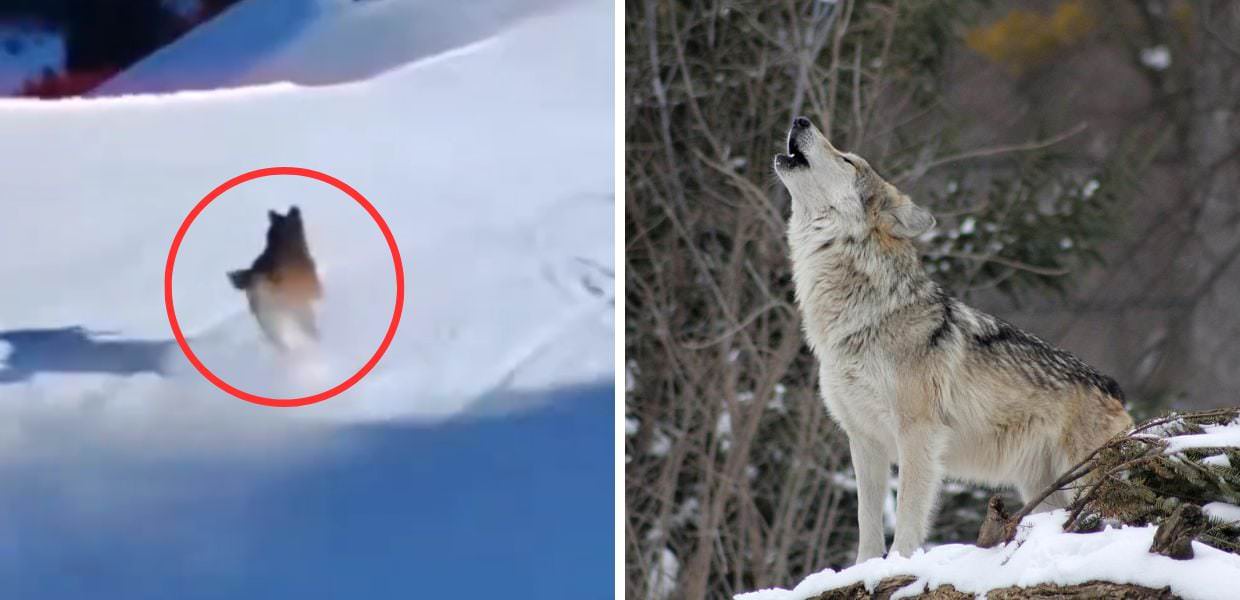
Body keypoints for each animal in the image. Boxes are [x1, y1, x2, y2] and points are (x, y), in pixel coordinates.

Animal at [773, 117, 1132, 563]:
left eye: (847, 160)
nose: (800, 120)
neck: (862, 317)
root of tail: (1114, 388)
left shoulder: (917, 434)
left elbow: (907, 516)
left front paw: (898, 564)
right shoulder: (864, 440)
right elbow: (867, 523)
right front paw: (864, 568)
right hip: (1043, 490)